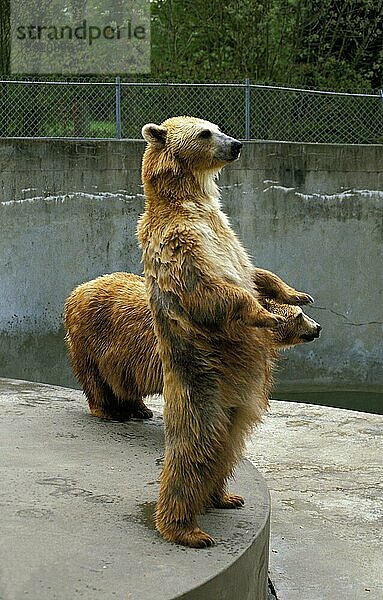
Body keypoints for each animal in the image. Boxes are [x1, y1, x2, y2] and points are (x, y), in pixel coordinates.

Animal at [64, 270, 322, 420]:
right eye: (300, 316)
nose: (317, 327)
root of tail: (77, 290)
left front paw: (300, 295)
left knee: (125, 382)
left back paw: (140, 409)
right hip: (90, 338)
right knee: (96, 378)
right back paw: (108, 411)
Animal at [136, 115, 316, 548]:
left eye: (217, 126)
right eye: (205, 133)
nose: (235, 144)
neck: (190, 202)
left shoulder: (228, 233)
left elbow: (256, 271)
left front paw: (297, 294)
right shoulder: (179, 244)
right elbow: (212, 289)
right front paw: (267, 317)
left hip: (236, 405)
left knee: (228, 446)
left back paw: (224, 496)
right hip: (202, 389)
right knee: (196, 450)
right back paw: (186, 528)